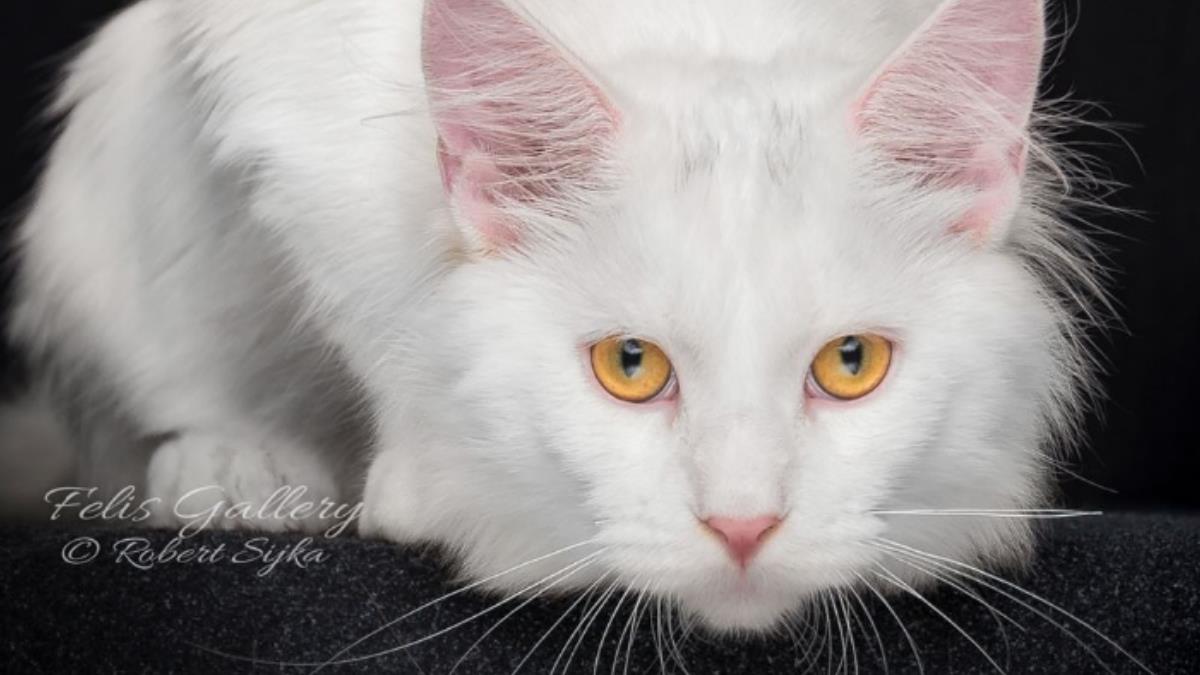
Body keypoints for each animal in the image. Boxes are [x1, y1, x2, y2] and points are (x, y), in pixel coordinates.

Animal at [7, 0, 1104, 629]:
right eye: (631, 365)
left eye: (849, 363)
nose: (743, 526)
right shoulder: (285, 88)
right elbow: (372, 292)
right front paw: (450, 491)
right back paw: (237, 470)